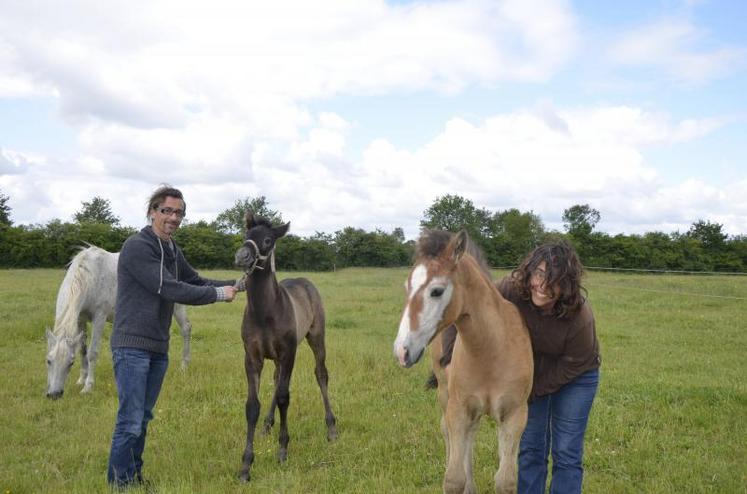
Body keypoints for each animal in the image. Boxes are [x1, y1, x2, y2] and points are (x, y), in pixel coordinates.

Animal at [45, 245, 193, 400]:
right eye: (48, 360)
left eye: (70, 363)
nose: (54, 394)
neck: (88, 276)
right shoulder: (80, 319)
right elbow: (83, 350)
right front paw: (81, 380)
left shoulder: (99, 317)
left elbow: (92, 352)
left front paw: (88, 386)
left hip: (177, 306)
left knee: (186, 329)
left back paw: (184, 366)